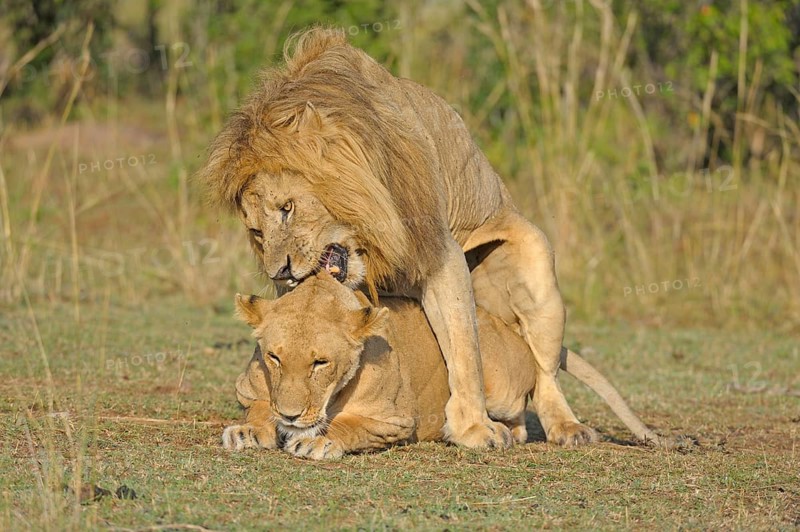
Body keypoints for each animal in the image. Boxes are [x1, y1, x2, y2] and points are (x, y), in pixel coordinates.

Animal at [199, 27, 593, 448]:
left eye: (287, 208)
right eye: (256, 232)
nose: (280, 273)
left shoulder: (440, 253)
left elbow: (464, 349)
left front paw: (473, 427)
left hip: (539, 281)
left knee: (544, 373)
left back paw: (567, 427)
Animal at [222, 273, 664, 459]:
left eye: (320, 362)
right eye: (275, 357)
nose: (291, 415)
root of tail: (506, 324)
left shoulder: (396, 420)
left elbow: (349, 426)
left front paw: (316, 440)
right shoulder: (251, 387)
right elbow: (258, 407)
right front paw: (248, 431)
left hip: (497, 384)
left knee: (524, 410)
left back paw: (503, 432)